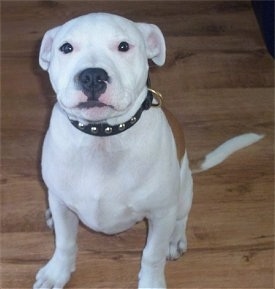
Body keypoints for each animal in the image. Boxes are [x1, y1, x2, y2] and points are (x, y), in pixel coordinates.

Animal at [34, 12, 264, 286]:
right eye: (66, 48)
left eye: (124, 46)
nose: (92, 76)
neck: (103, 136)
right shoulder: (61, 203)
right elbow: (65, 243)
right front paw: (57, 273)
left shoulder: (161, 214)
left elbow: (152, 255)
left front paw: (152, 282)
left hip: (183, 190)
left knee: (181, 216)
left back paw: (175, 239)